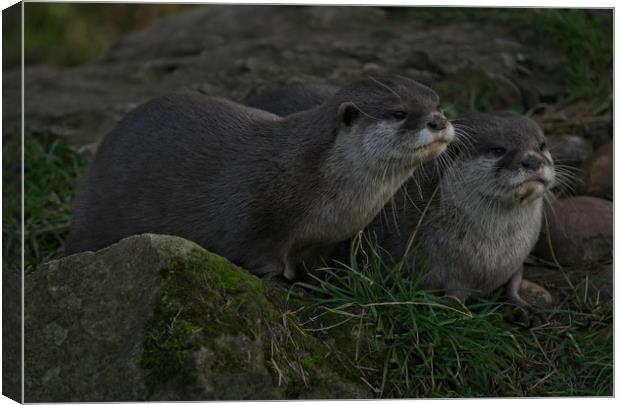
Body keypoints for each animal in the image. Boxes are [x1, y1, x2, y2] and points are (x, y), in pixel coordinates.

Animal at [66, 76, 456, 280]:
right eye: (399, 113)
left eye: (438, 104)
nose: (437, 121)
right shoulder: (257, 221)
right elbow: (260, 260)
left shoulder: (325, 239)